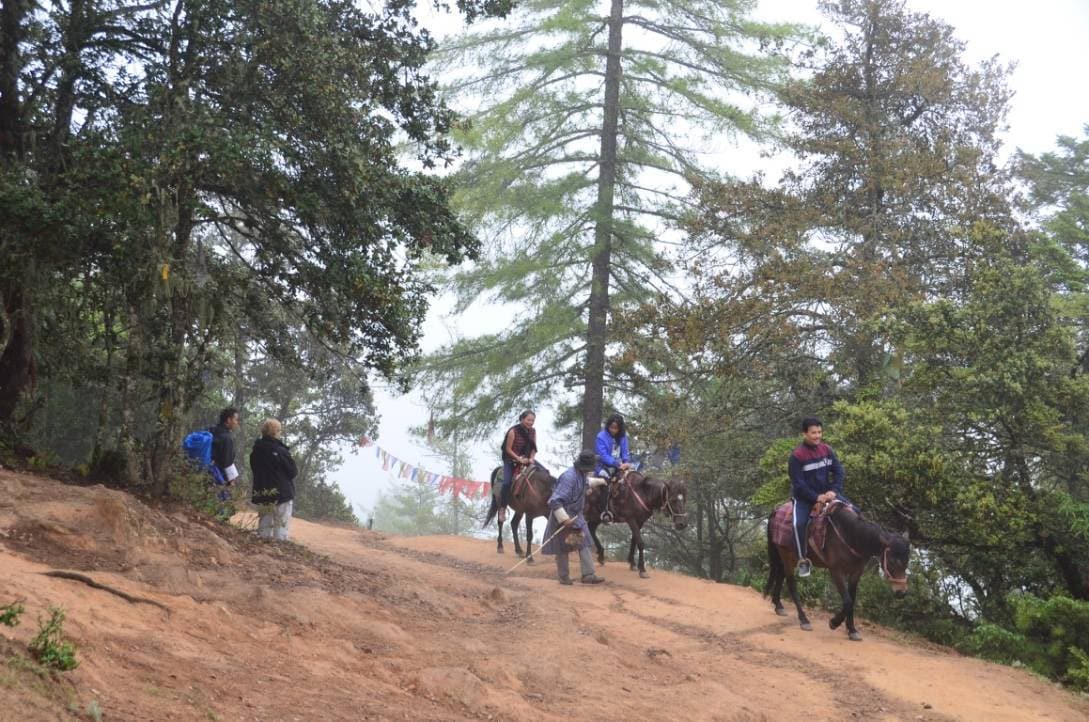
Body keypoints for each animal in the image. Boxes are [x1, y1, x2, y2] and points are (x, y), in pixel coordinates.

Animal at [766, 503, 910, 644]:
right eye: (892, 561)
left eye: (907, 561)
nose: (901, 592)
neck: (850, 536)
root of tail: (777, 510)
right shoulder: (836, 571)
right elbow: (847, 601)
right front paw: (834, 623)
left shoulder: (856, 573)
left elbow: (852, 599)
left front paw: (852, 630)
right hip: (786, 555)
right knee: (791, 583)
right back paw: (803, 619)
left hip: (788, 557)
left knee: (781, 574)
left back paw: (778, 606)